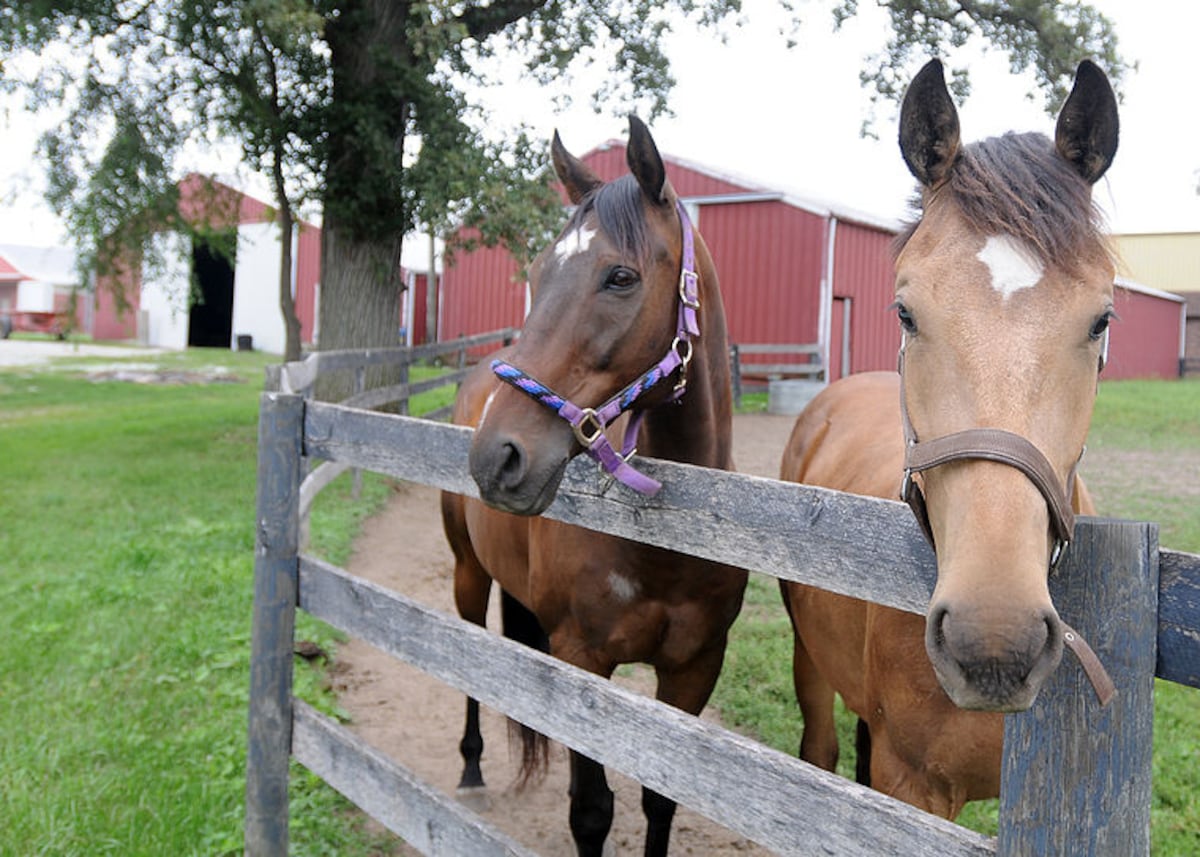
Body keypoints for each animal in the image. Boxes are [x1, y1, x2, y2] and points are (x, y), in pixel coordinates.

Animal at [441, 115, 746, 857]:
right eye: (537, 273)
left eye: (620, 276)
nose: (497, 456)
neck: (664, 552)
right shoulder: (583, 659)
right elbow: (591, 811)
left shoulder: (695, 667)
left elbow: (661, 801)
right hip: (468, 574)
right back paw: (470, 768)